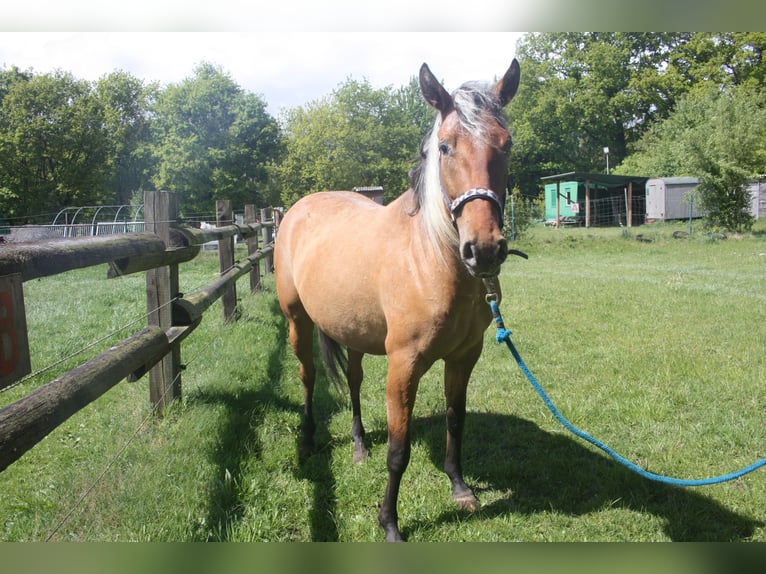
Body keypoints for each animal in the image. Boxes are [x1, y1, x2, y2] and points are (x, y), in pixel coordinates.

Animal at [274, 59, 521, 541]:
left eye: (506, 145)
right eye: (445, 147)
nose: (484, 250)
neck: (429, 258)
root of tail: (297, 209)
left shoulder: (465, 356)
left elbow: (456, 420)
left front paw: (460, 488)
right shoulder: (403, 366)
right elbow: (398, 450)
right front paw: (389, 523)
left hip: (352, 331)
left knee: (352, 382)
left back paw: (357, 445)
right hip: (298, 323)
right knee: (308, 377)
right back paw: (309, 439)